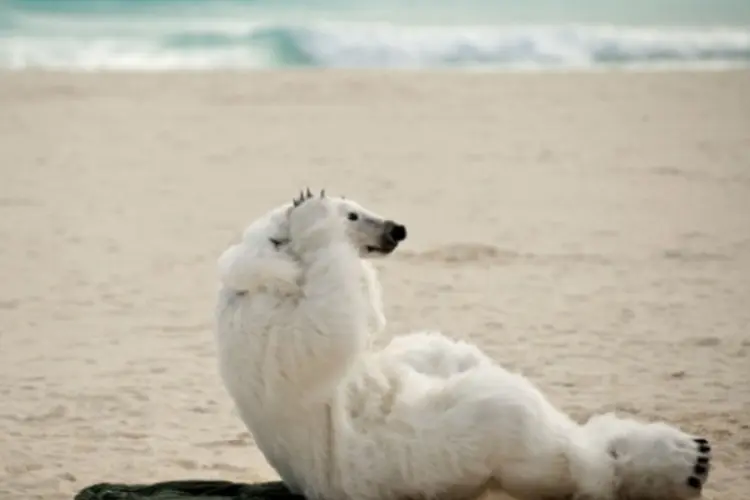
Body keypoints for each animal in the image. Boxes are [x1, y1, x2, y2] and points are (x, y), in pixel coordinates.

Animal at [214, 190, 712, 500]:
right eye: (353, 214)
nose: (397, 229)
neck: (260, 274)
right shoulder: (265, 325)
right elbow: (324, 331)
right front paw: (314, 217)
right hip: (411, 458)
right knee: (510, 417)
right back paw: (683, 462)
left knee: (445, 354)